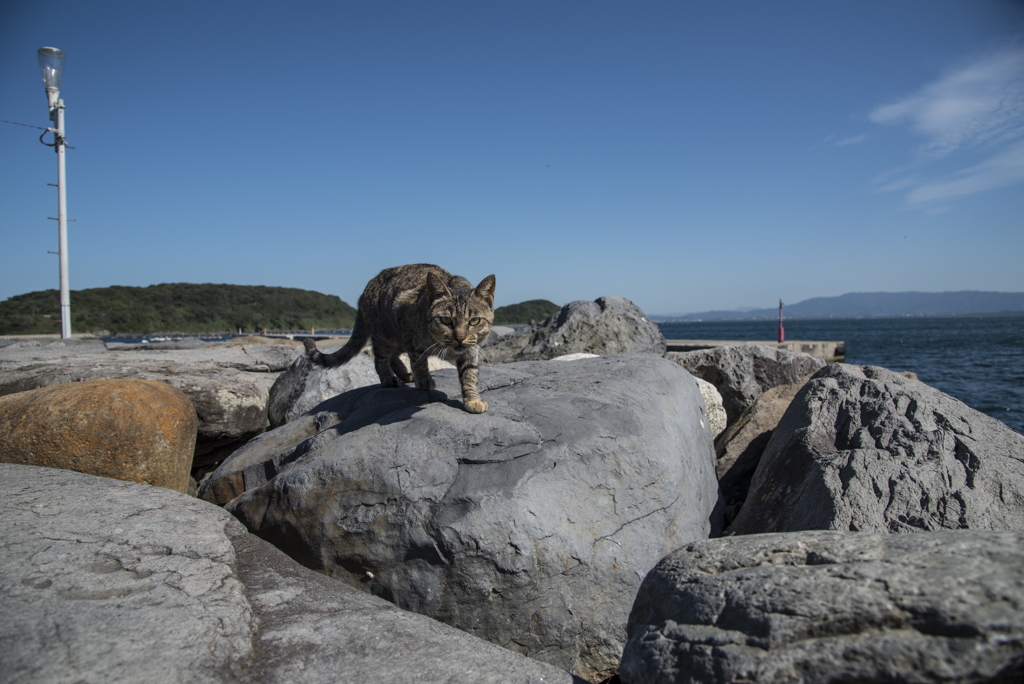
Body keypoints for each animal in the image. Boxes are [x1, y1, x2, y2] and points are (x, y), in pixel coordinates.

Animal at [299, 262, 495, 411]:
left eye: (474, 321)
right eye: (446, 320)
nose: (460, 337)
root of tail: (364, 292)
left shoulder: (471, 350)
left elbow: (470, 374)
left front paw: (472, 399)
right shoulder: (408, 327)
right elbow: (418, 361)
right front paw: (424, 379)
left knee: (393, 356)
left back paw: (404, 373)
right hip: (385, 334)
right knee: (380, 358)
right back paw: (389, 378)